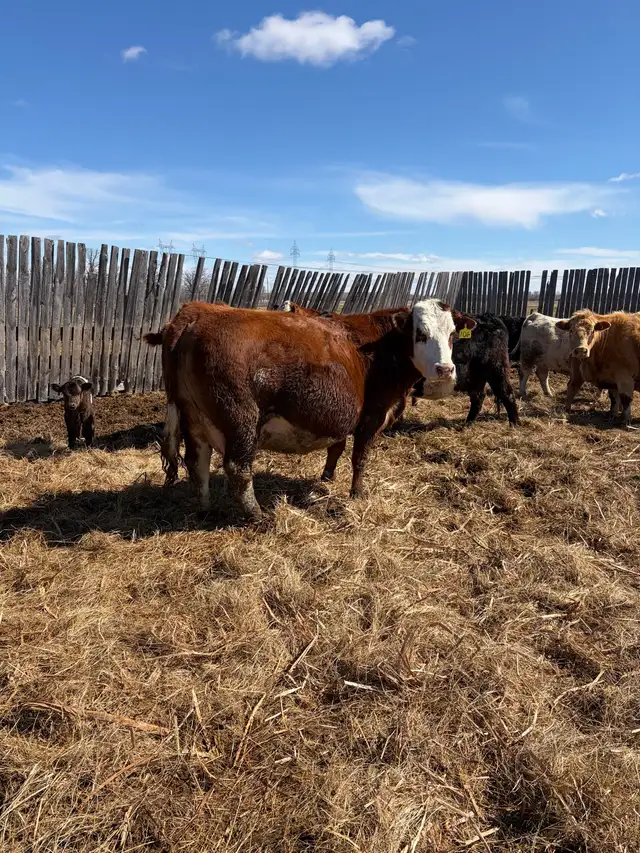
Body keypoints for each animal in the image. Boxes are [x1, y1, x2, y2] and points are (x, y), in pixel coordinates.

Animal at [145, 299, 476, 520]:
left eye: (452, 335)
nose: (445, 369)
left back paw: (205, 508)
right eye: (420, 334)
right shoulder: (372, 414)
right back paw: (259, 516)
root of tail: (196, 316)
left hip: (194, 419)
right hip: (240, 421)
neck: (379, 347)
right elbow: (360, 458)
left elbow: (336, 447)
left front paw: (327, 477)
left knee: (197, 462)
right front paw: (357, 493)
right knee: (238, 470)